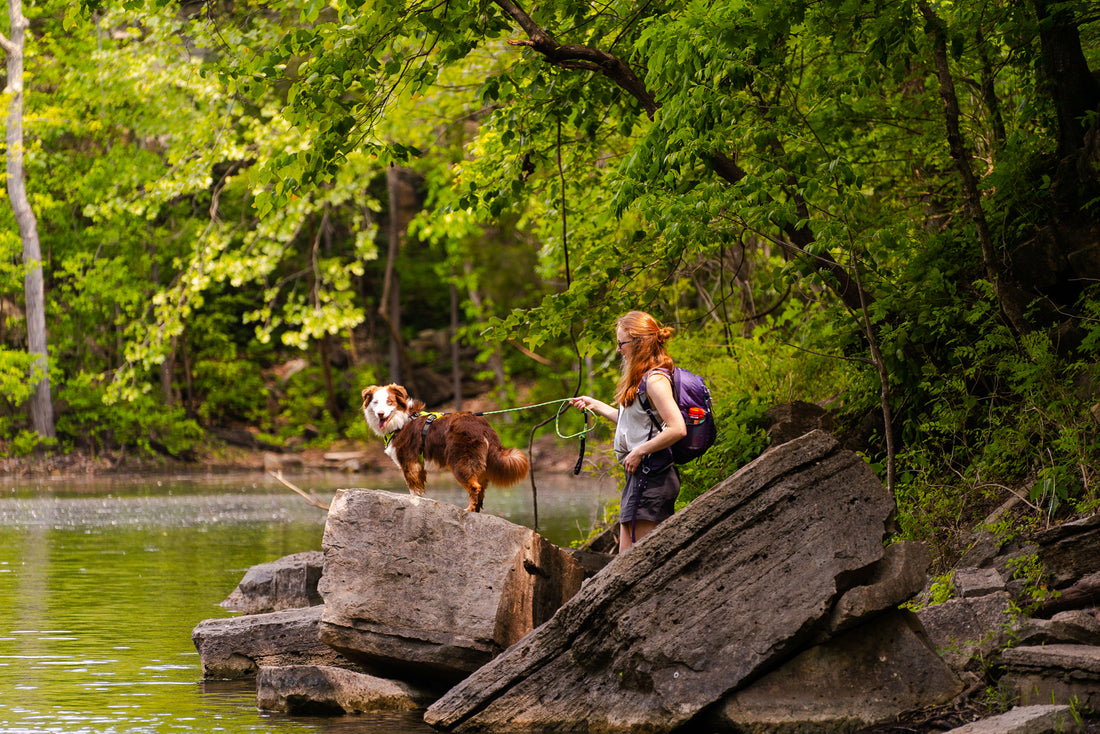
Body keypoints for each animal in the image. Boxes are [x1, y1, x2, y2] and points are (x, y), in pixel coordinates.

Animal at [363, 385, 530, 510]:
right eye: (375, 402)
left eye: (389, 402)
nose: (380, 414)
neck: (402, 419)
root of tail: (483, 426)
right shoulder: (418, 466)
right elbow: (419, 490)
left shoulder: (409, 463)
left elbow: (413, 490)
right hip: (480, 466)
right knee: (481, 489)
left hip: (459, 462)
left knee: (475, 487)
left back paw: (468, 510)